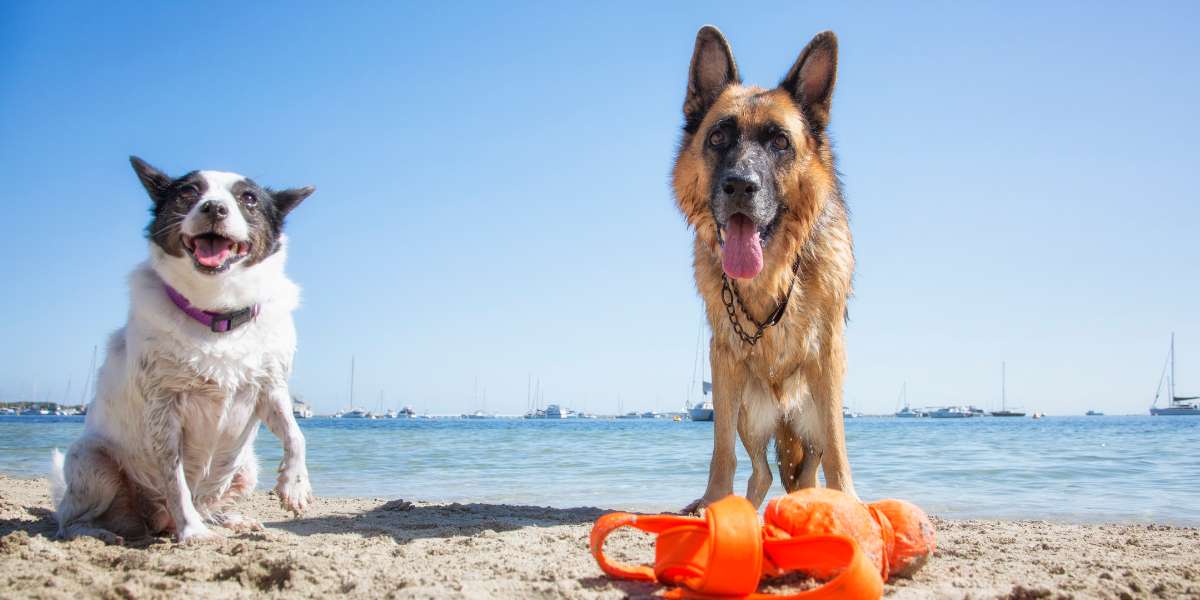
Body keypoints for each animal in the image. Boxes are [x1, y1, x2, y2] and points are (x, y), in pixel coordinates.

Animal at [52, 157, 316, 542]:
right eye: (189, 192)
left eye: (249, 198)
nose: (214, 207)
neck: (217, 314)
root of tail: (157, 523)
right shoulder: (163, 410)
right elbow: (175, 482)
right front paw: (192, 532)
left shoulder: (271, 387)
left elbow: (297, 435)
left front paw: (295, 486)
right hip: (91, 461)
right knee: (68, 519)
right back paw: (99, 533)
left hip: (247, 467)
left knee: (207, 503)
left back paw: (229, 519)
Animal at [672, 24, 859, 511]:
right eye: (719, 137)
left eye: (779, 142)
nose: (740, 185)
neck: (773, 270)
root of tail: (781, 415)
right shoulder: (724, 360)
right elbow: (720, 450)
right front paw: (714, 501)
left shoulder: (829, 354)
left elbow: (838, 446)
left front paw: (848, 499)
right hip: (747, 414)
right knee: (761, 472)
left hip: (809, 417)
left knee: (808, 469)